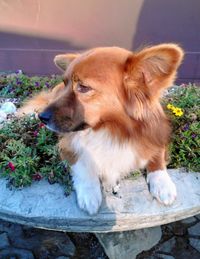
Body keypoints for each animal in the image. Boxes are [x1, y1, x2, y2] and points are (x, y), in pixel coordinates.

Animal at [18, 44, 184, 215]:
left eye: (83, 87)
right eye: (65, 83)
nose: (42, 117)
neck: (110, 129)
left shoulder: (155, 135)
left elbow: (157, 157)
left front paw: (162, 183)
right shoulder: (68, 143)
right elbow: (82, 162)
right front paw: (89, 193)